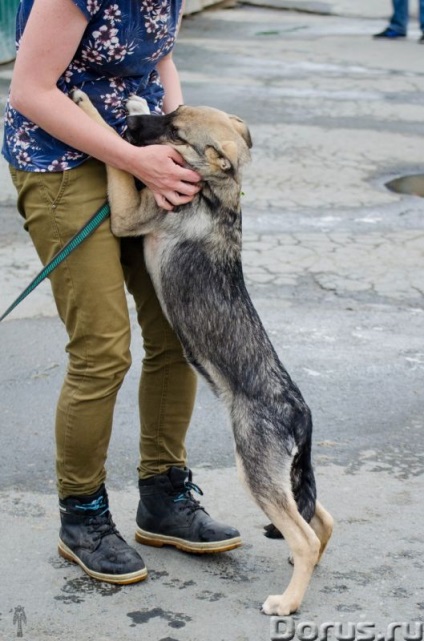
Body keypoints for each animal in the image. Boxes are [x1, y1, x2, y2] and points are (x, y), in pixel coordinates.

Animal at [71, 90, 332, 616]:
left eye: (175, 133)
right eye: (171, 114)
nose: (130, 122)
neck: (216, 189)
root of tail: (302, 414)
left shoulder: (129, 215)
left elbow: (116, 163)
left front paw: (89, 106)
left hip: (255, 469)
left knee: (305, 537)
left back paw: (287, 602)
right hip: (287, 475)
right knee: (323, 519)